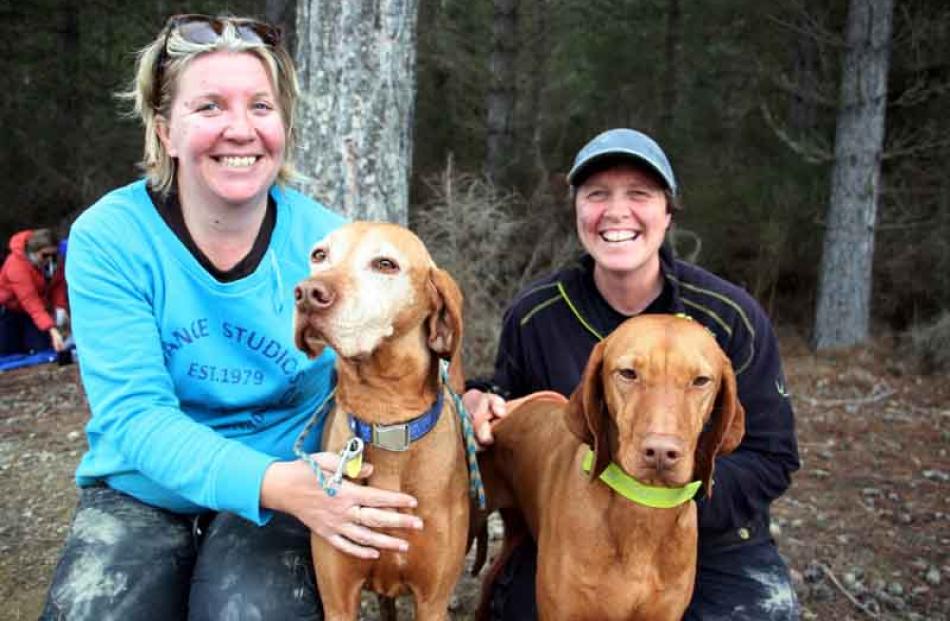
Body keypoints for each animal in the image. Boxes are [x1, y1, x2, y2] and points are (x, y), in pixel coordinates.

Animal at [294, 223, 472, 620]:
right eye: (319, 255)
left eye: (385, 264)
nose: (307, 295)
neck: (385, 415)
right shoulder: (338, 598)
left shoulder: (432, 601)